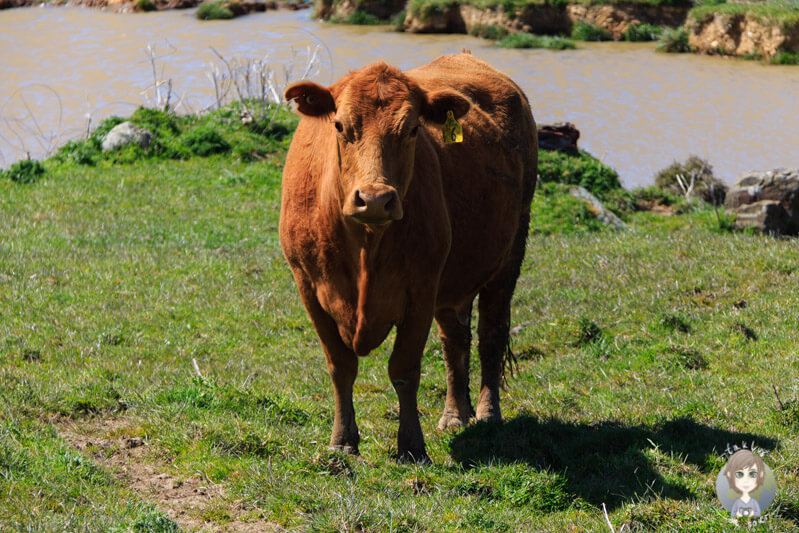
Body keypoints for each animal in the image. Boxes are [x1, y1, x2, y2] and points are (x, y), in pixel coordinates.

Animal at [282, 54, 536, 462]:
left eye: (413, 128)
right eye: (340, 125)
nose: (374, 198)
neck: (365, 245)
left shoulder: (420, 289)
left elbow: (404, 369)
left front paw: (412, 446)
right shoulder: (308, 287)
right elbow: (341, 366)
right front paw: (342, 441)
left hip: (509, 257)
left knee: (490, 334)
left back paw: (487, 414)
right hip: (455, 282)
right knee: (455, 339)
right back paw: (455, 414)